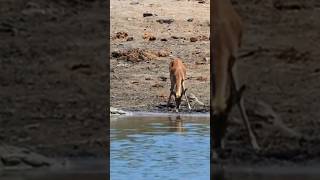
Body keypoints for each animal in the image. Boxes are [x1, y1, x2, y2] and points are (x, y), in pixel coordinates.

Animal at [212, 0, 260, 155]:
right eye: (212, 124)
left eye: (226, 123)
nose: (216, 145)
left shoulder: (233, 61)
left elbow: (239, 98)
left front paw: (255, 145)